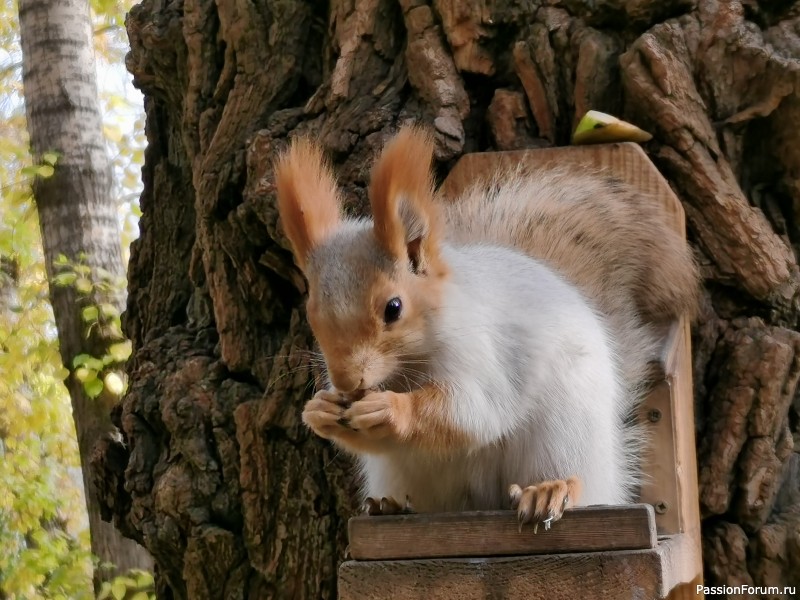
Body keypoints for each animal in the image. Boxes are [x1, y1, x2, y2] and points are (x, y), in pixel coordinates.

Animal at [276, 126, 700, 528]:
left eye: (393, 308)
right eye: (312, 312)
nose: (347, 383)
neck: (408, 366)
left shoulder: (486, 356)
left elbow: (473, 410)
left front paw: (391, 408)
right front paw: (320, 410)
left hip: (567, 433)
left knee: (576, 479)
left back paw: (551, 490)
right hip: (405, 473)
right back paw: (390, 506)